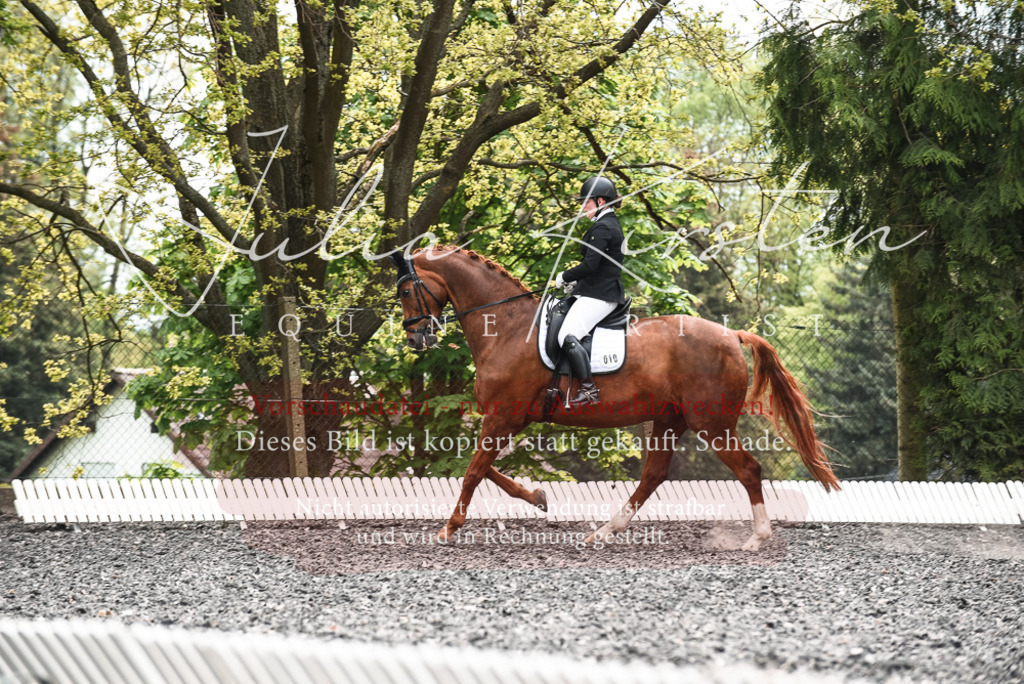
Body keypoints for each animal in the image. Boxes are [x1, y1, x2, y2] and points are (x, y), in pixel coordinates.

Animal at [392, 245, 839, 550]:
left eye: (407, 292)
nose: (415, 339)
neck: (506, 327)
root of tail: (732, 334)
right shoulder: (507, 418)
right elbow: (484, 470)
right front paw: (537, 497)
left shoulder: (503, 416)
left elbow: (472, 471)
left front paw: (448, 528)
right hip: (670, 419)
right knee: (654, 475)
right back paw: (605, 531)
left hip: (711, 423)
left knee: (748, 469)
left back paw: (756, 538)